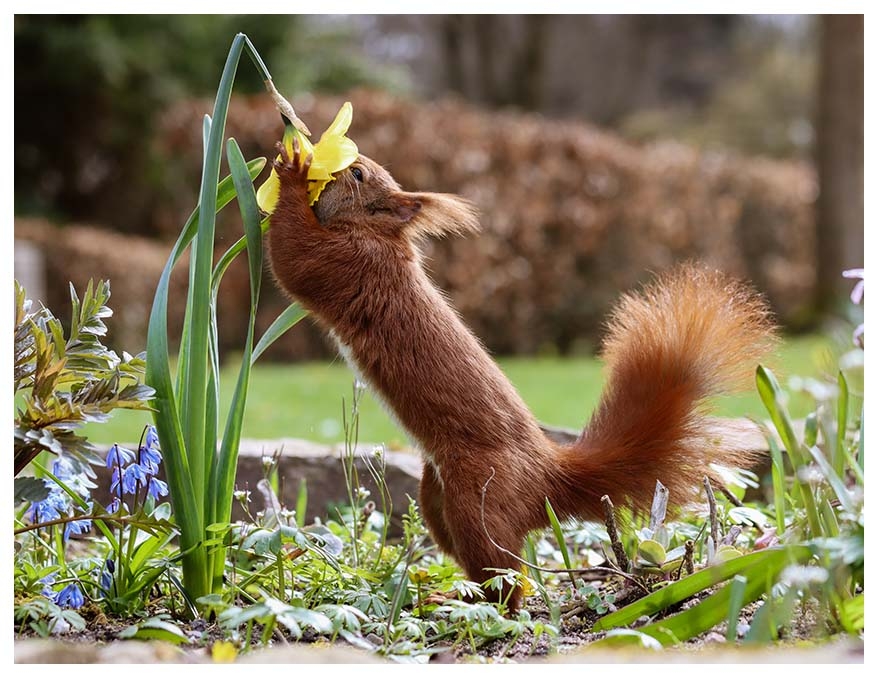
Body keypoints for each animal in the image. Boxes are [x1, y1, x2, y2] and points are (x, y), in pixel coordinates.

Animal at [268, 138, 776, 612]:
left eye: (356, 174)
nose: (332, 160)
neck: (378, 233)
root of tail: (545, 478)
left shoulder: (344, 262)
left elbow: (294, 258)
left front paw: (290, 170)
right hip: (437, 496)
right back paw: (454, 595)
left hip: (478, 498)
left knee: (506, 581)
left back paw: (474, 607)